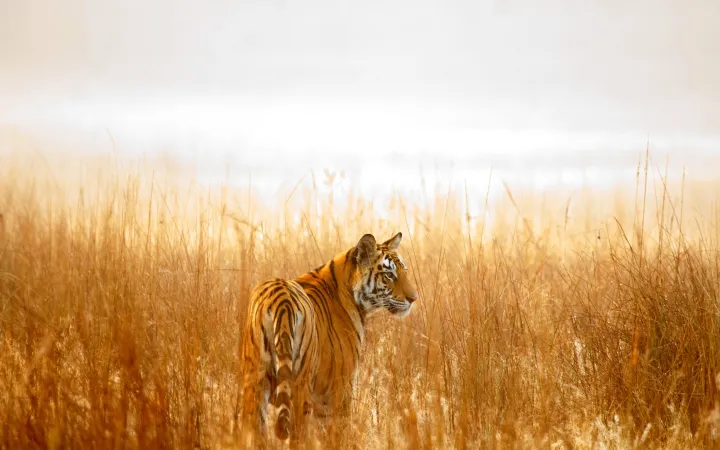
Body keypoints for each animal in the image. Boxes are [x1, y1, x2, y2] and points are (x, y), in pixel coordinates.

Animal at [239, 232, 419, 444]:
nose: (413, 298)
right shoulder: (340, 389)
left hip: (254, 381)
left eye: (404, 271)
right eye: (389, 275)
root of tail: (282, 299)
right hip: (300, 386)